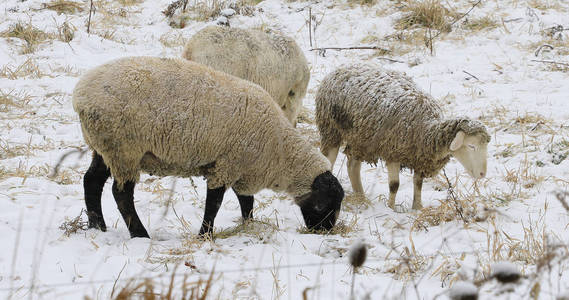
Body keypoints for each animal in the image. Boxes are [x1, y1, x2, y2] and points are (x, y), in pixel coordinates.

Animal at [73, 56, 344, 239]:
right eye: (323, 204)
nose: (325, 231)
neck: (280, 149)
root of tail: (81, 95)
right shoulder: (227, 165)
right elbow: (214, 204)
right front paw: (205, 234)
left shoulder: (240, 168)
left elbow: (247, 201)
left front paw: (248, 224)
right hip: (124, 148)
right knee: (121, 194)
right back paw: (140, 234)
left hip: (105, 148)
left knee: (92, 181)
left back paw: (97, 226)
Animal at [316, 65, 488, 211]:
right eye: (471, 146)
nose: (482, 175)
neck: (426, 130)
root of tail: (339, 69)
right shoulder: (393, 152)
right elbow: (394, 185)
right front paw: (391, 209)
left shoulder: (419, 157)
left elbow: (418, 183)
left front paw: (417, 208)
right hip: (331, 131)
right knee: (328, 162)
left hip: (361, 138)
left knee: (353, 166)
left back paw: (361, 198)